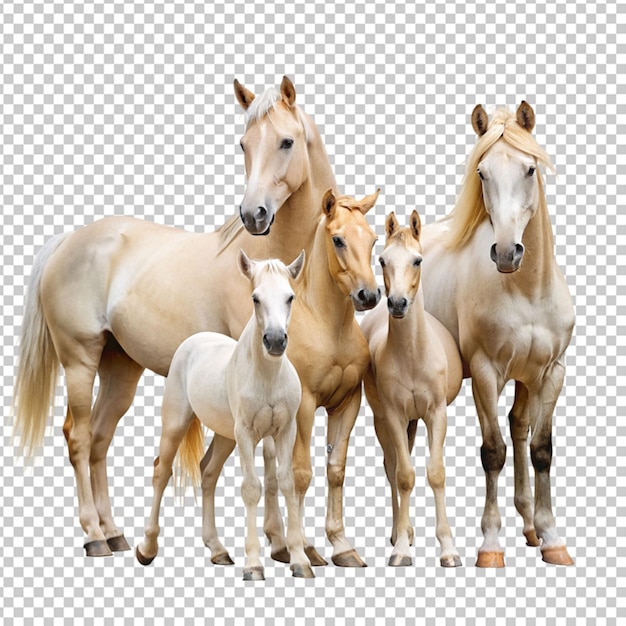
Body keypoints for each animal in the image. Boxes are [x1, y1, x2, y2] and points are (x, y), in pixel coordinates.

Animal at [11, 77, 336, 556]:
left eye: (287, 142)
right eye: (243, 143)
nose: (253, 214)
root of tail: (69, 239)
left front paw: (289, 544)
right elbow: (266, 462)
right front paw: (279, 544)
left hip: (120, 369)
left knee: (100, 439)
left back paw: (115, 532)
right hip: (79, 359)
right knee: (79, 437)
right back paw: (93, 535)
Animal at [177, 189, 380, 564]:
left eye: (373, 239)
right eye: (338, 240)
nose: (369, 295)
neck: (328, 327)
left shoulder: (348, 402)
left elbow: (335, 470)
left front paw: (342, 546)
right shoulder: (305, 408)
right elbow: (300, 474)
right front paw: (307, 548)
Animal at [358, 210, 460, 564]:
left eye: (417, 260)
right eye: (382, 259)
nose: (398, 303)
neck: (414, 356)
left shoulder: (435, 414)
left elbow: (436, 473)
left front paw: (449, 549)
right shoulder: (393, 415)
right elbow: (404, 476)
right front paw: (401, 547)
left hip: (415, 422)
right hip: (385, 421)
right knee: (392, 468)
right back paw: (399, 532)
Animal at [416, 102, 572, 564]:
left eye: (529, 169)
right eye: (482, 173)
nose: (506, 253)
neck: (528, 289)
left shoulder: (550, 372)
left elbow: (541, 449)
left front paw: (552, 537)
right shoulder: (486, 374)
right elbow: (493, 452)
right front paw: (489, 545)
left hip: (526, 377)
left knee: (520, 426)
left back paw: (530, 525)